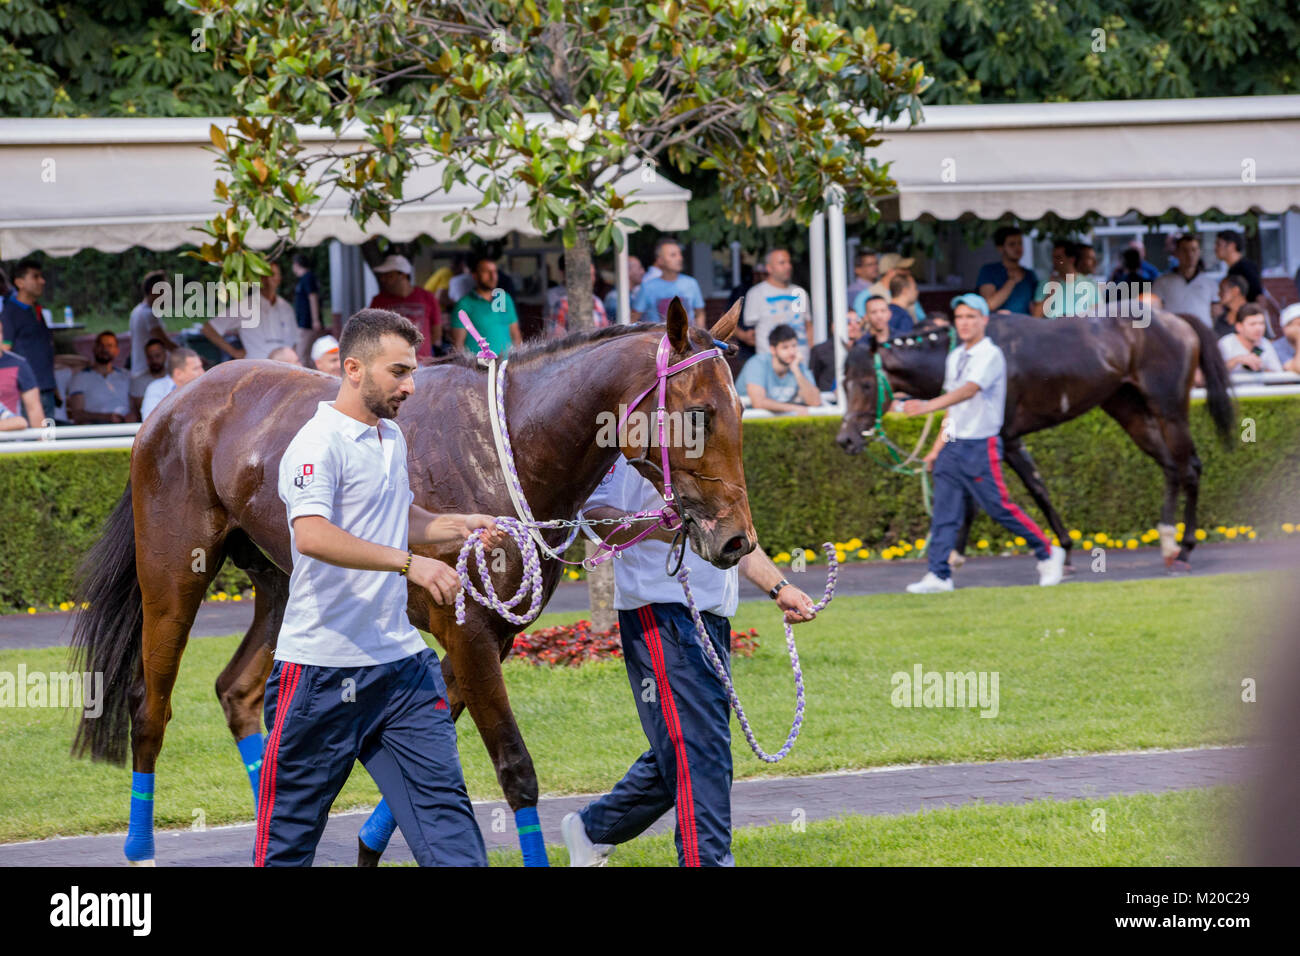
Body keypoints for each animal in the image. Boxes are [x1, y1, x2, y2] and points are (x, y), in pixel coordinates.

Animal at [71, 299, 759, 868]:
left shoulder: (490, 635)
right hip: (172, 573)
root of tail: (173, 406)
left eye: (739, 409)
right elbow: (515, 769)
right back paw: (140, 851)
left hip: (284, 584)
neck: (506, 444)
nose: (736, 540)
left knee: (237, 691)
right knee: (149, 706)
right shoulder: (470, 633)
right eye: (699, 414)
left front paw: (371, 844)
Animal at [837, 310, 1232, 572]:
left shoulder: (1000, 438)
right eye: (843, 382)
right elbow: (1032, 490)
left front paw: (953, 554)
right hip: (1128, 409)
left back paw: (1184, 549)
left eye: (867, 384)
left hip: (1169, 409)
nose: (845, 439)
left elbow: (990, 496)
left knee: (1189, 467)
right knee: (1170, 466)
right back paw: (1168, 542)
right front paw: (1066, 549)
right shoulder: (1005, 440)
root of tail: (1177, 319)